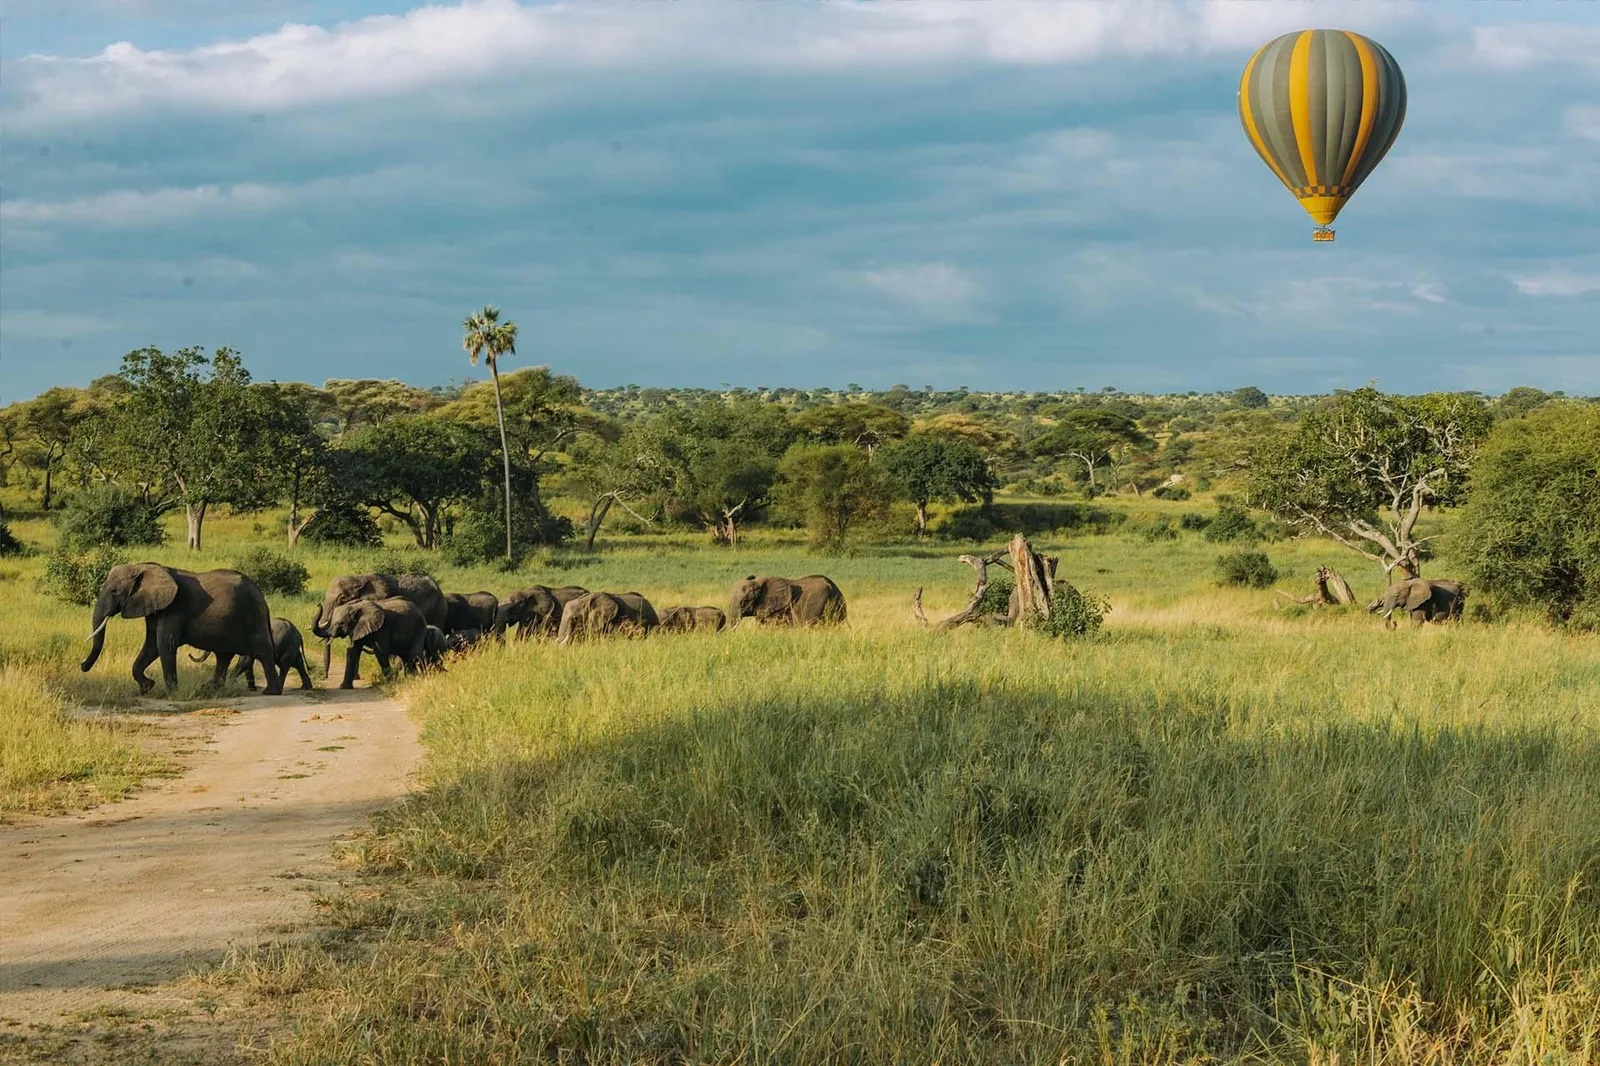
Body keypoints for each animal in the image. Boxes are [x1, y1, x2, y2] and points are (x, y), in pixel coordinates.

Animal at [80, 563, 282, 696]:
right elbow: (151, 645)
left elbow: (164, 644)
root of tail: (261, 594)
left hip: (252, 615)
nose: (82, 665)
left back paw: (271, 692)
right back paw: (210, 689)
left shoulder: (175, 607)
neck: (142, 567)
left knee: (262, 651)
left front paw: (172, 694)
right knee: (223, 655)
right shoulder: (154, 607)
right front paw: (147, 687)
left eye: (114, 591)